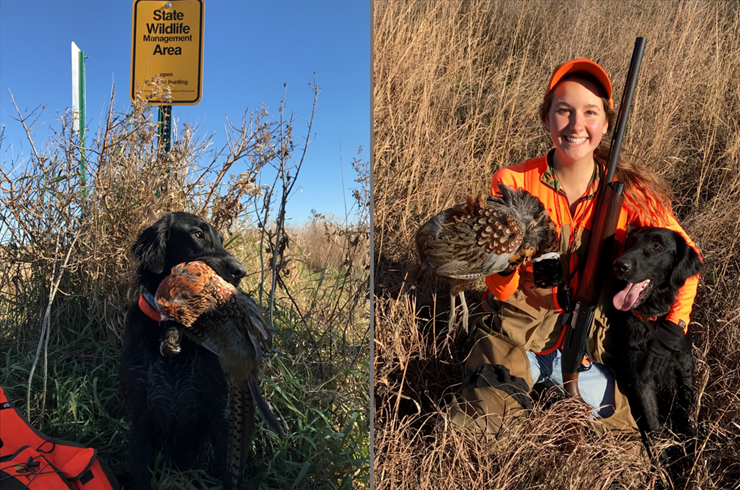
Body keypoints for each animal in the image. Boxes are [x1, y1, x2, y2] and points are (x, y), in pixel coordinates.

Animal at [117, 212, 247, 490]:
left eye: (221, 240)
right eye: (198, 234)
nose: (241, 271)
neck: (173, 330)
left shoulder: (218, 410)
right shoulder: (139, 415)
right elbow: (140, 473)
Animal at [604, 228, 704, 450]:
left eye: (657, 246)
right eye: (630, 242)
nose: (618, 265)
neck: (651, 320)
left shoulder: (685, 363)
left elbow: (686, 404)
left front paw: (690, 443)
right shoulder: (640, 378)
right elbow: (652, 425)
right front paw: (660, 458)